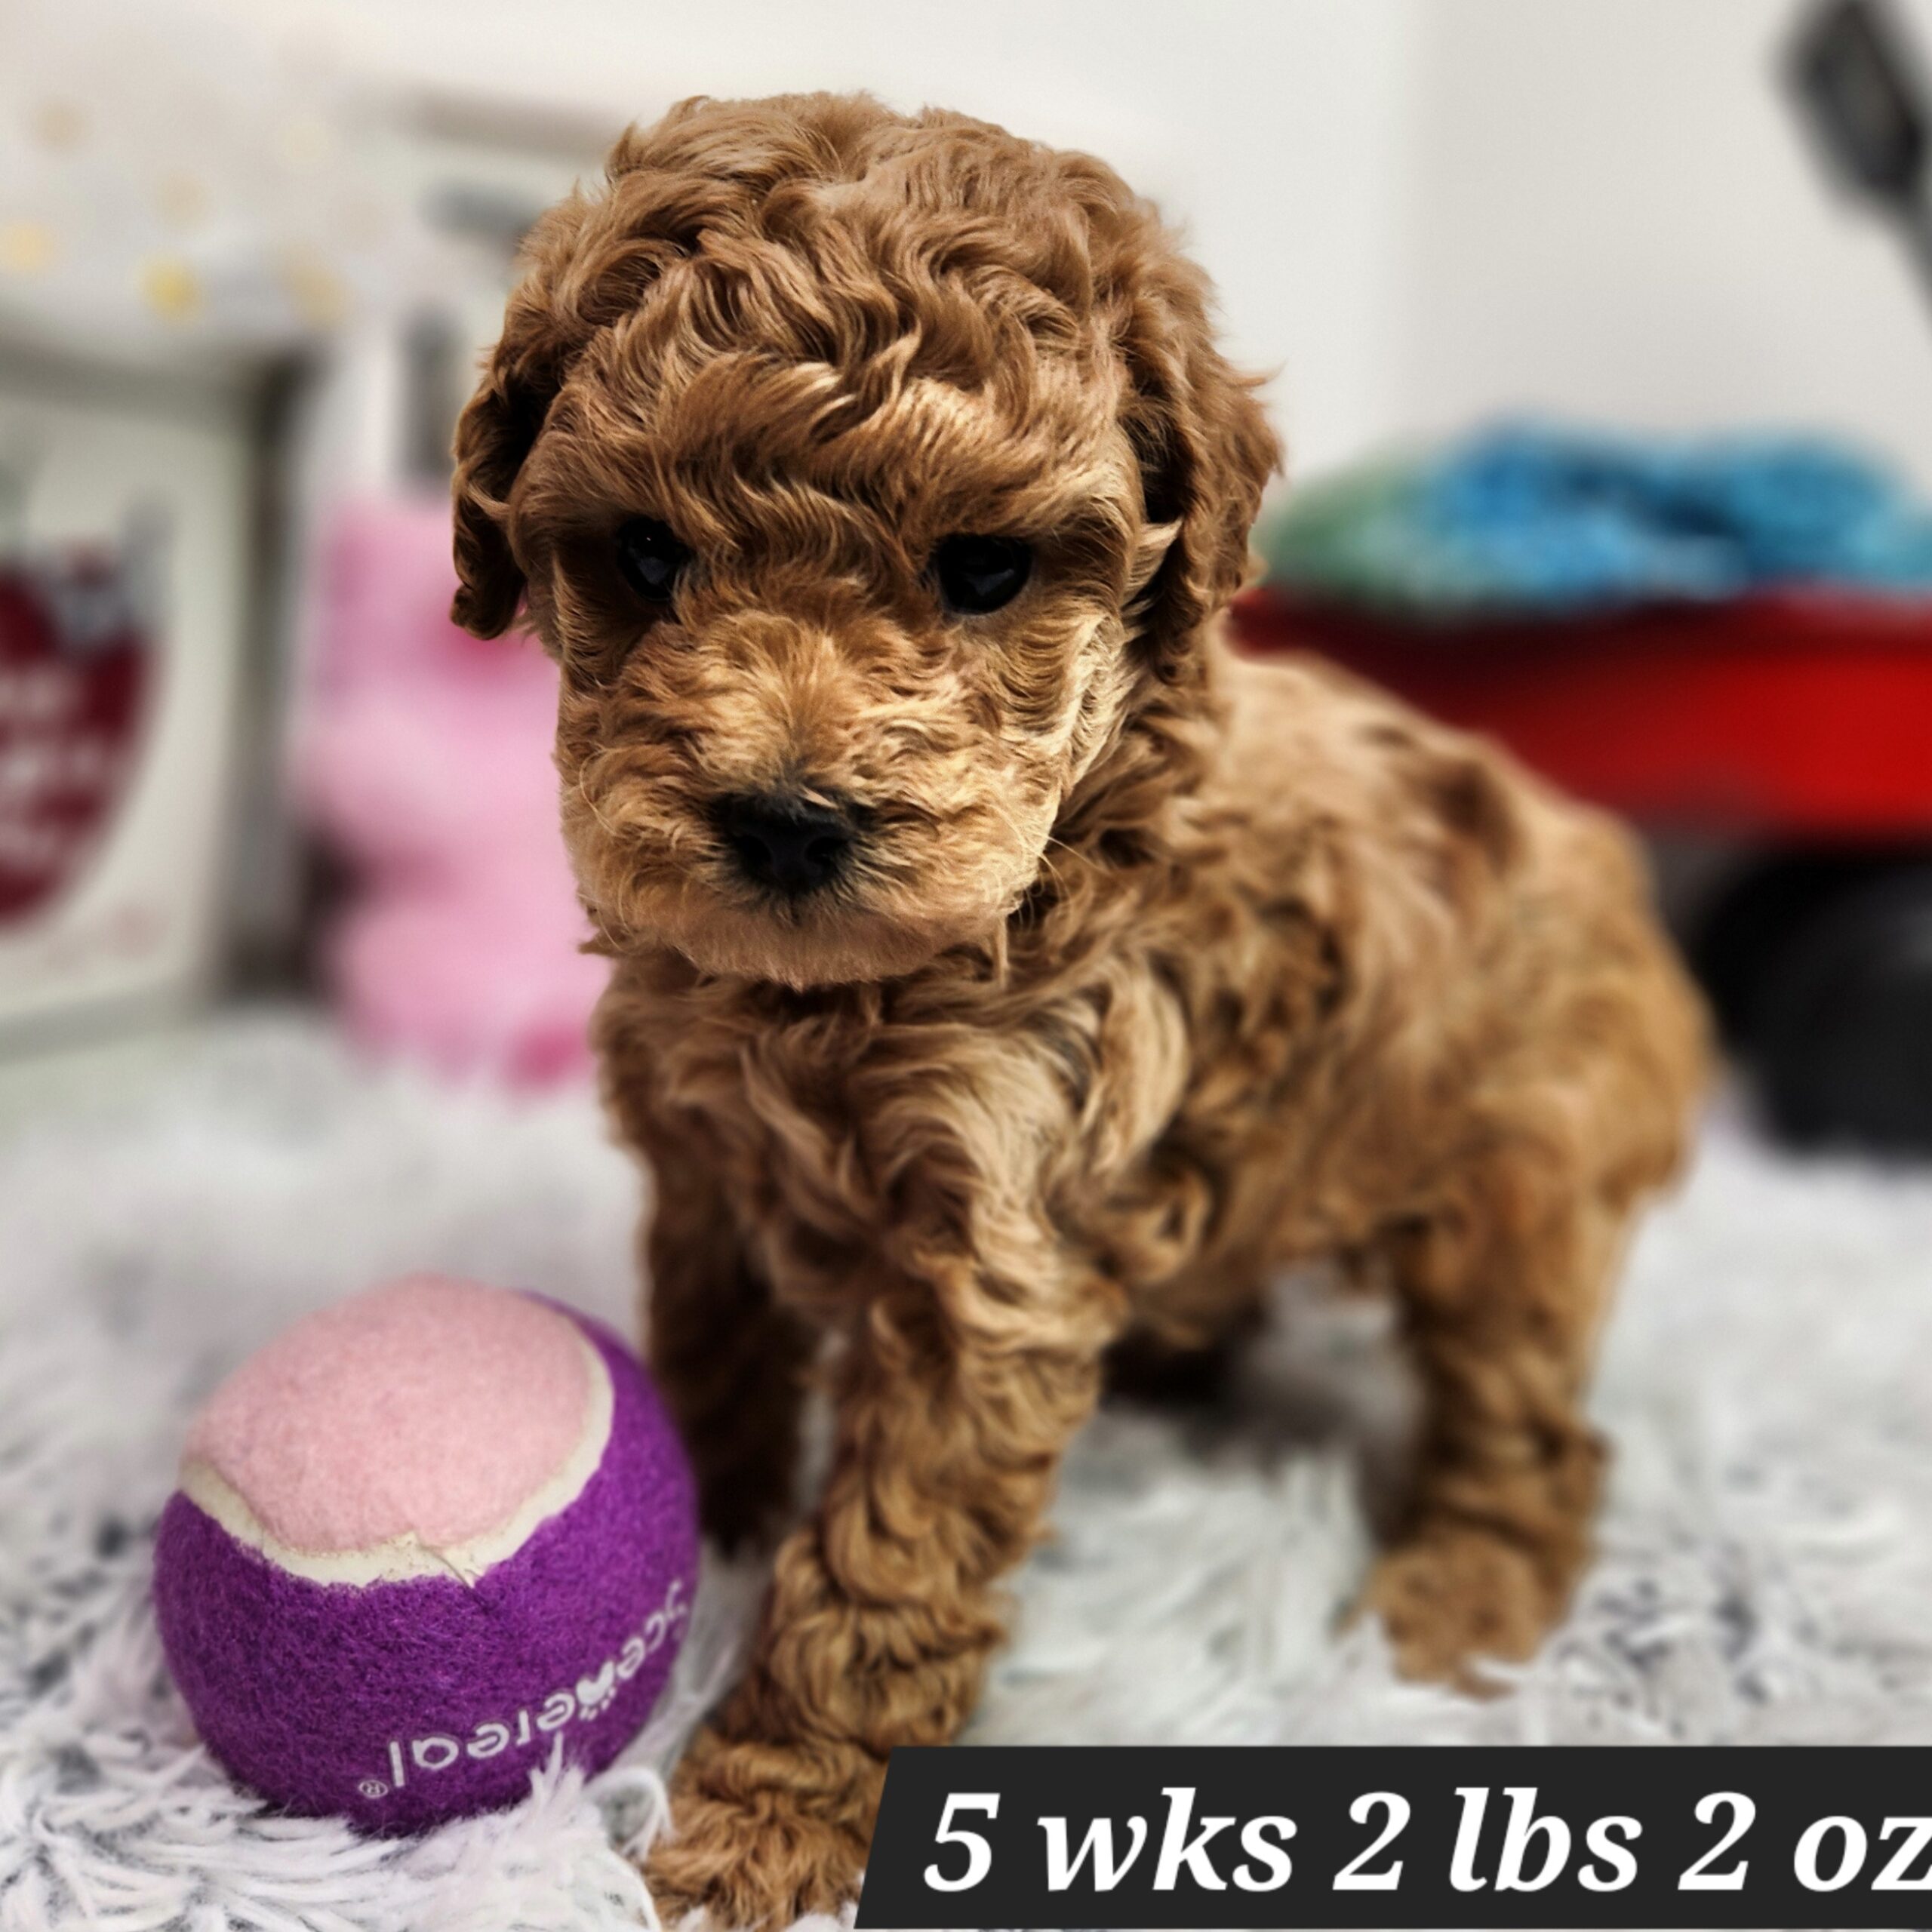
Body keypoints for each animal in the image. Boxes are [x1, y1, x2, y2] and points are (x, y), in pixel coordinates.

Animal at [448, 94, 1708, 1932]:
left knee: (1535, 1442)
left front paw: (759, 1827)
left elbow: (877, 1574)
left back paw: (1448, 1619)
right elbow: (712, 1353)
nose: (786, 821)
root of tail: (1621, 885)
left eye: (983, 570)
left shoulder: (995, 1254)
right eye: (646, 554)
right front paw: (706, 1527)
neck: (833, 999)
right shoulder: (699, 1163)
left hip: (1517, 1207)